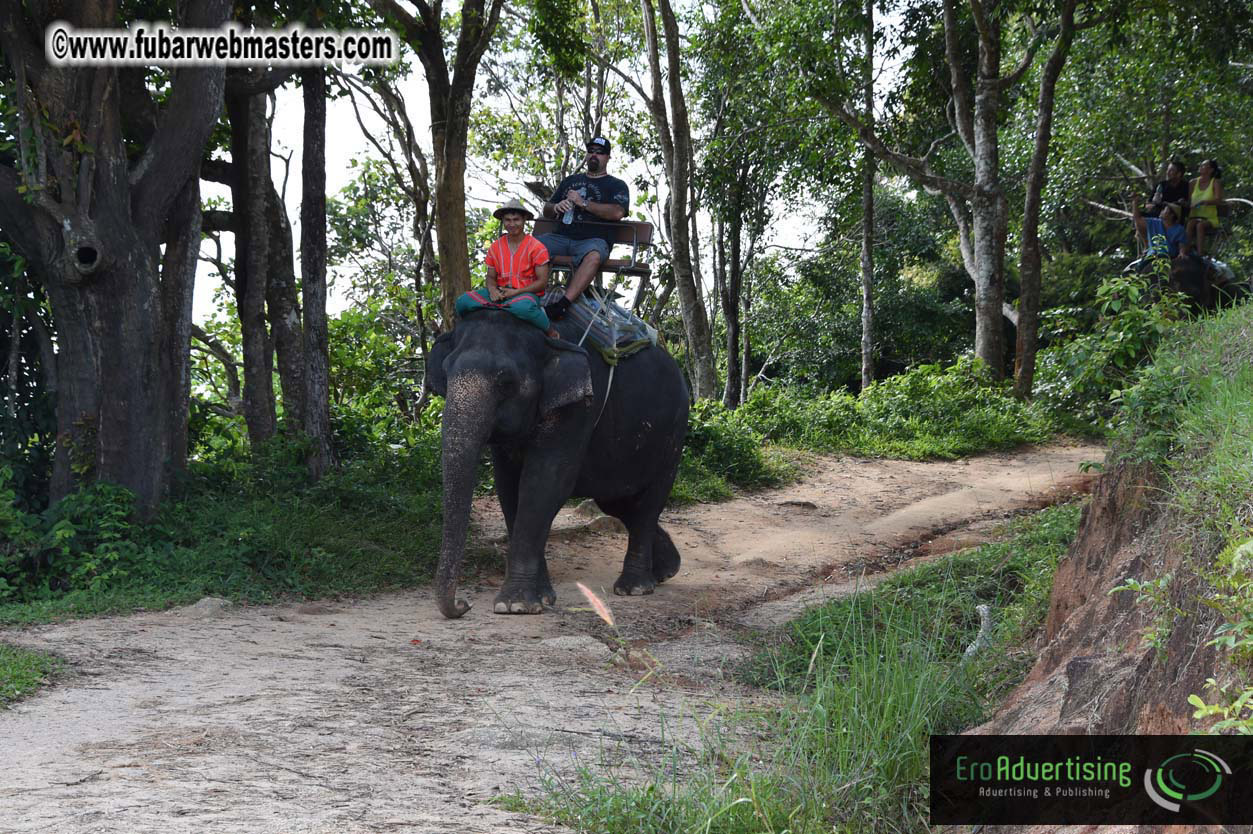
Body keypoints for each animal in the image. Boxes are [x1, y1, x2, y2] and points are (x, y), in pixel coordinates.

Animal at [425, 306, 690, 618]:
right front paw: (542, 598)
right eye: (446, 373)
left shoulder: (579, 406)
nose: (463, 605)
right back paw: (665, 570)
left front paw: (514, 605)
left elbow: (545, 481)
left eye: (506, 382)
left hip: (674, 434)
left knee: (649, 501)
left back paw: (634, 587)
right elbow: (508, 486)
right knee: (619, 503)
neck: (547, 336)